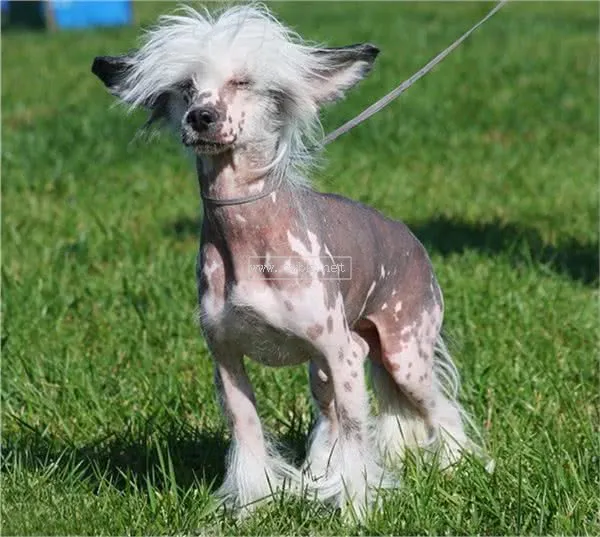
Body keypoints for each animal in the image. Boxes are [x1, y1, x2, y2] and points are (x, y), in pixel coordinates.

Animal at [91, 2, 486, 516]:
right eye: (185, 88)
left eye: (243, 82)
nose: (201, 117)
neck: (247, 239)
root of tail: (410, 238)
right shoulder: (227, 359)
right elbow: (248, 432)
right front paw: (252, 506)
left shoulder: (343, 354)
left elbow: (357, 435)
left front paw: (356, 509)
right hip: (323, 369)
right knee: (330, 418)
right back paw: (319, 475)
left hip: (403, 356)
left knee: (441, 410)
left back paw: (461, 468)